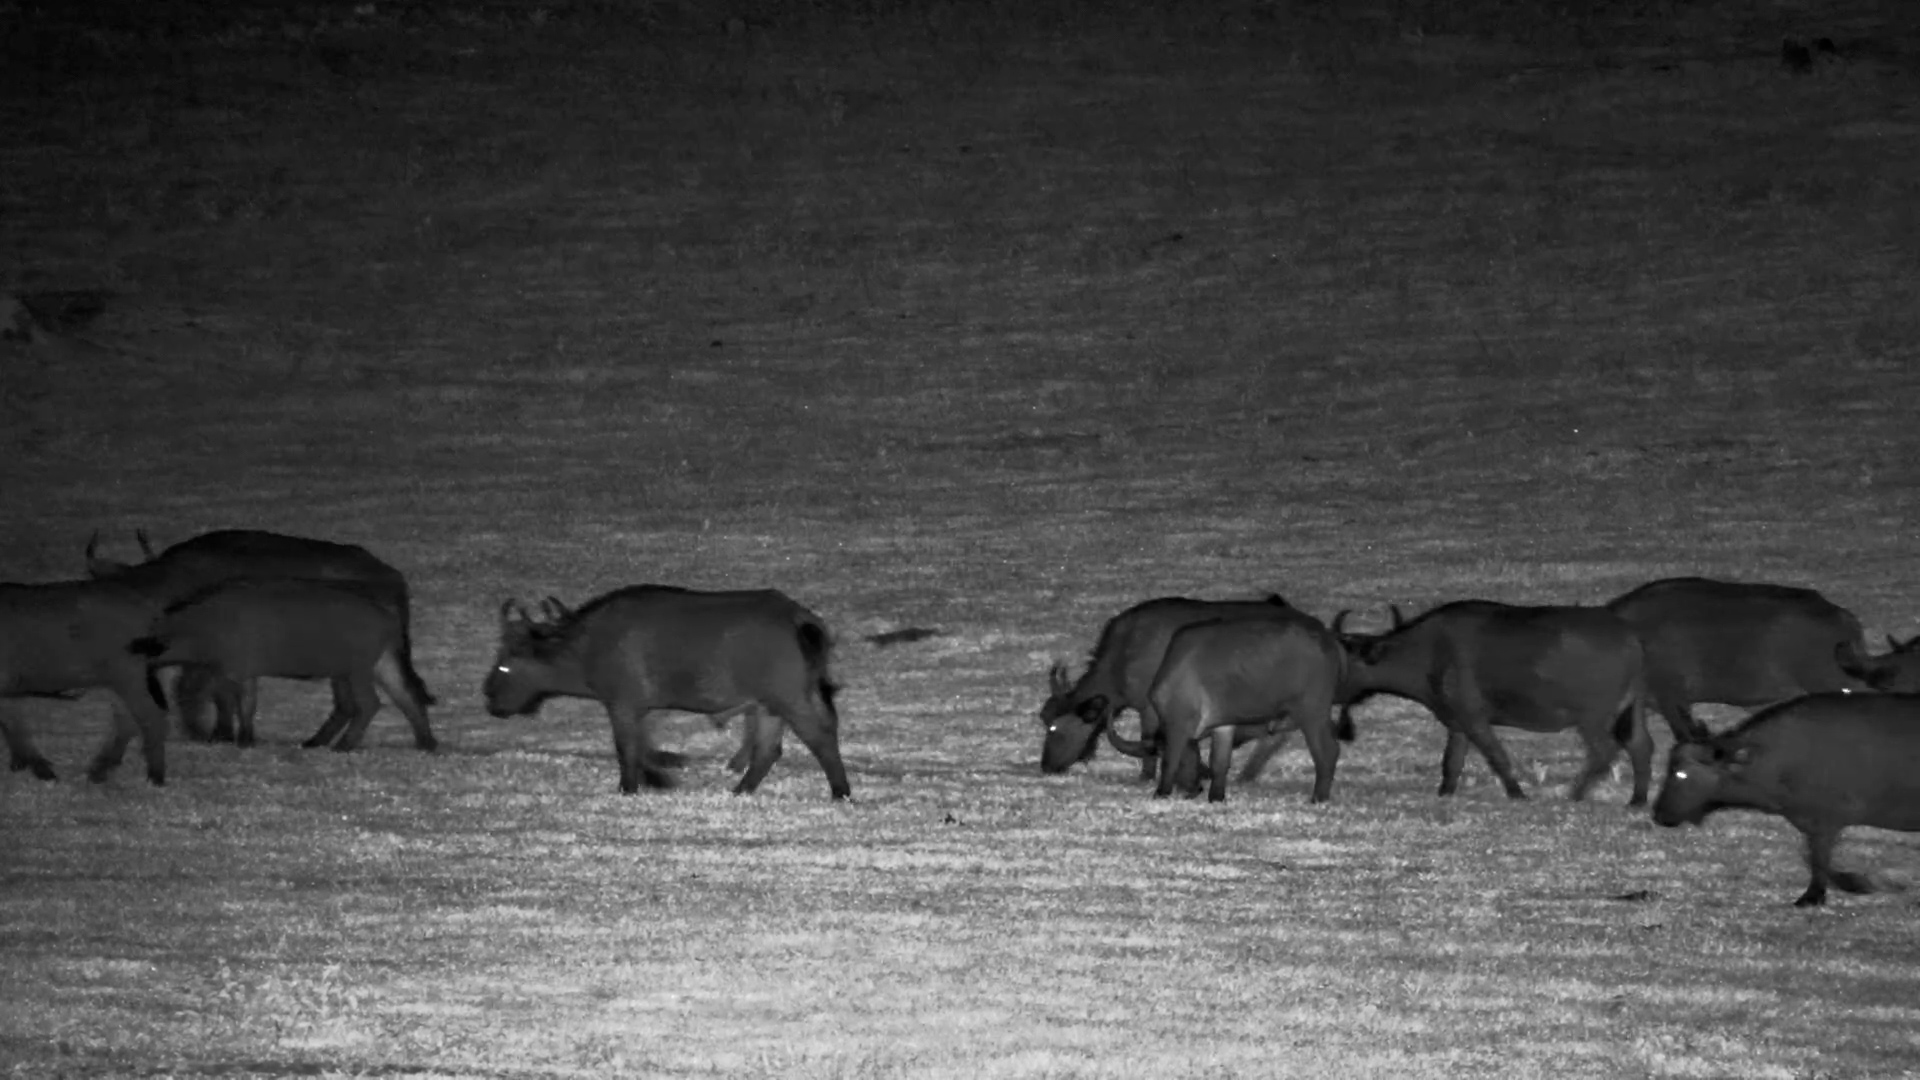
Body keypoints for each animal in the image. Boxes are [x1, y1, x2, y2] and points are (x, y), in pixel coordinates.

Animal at [0, 577, 170, 785]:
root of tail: (150, 607)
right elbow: (12, 722)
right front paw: (22, 765)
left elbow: (11, 722)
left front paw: (41, 771)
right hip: (120, 678)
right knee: (126, 721)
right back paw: (99, 771)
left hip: (128, 674)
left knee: (151, 717)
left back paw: (155, 777)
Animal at [132, 578, 437, 752]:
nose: (194, 734)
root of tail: (389, 618)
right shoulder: (240, 672)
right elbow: (242, 705)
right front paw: (241, 738)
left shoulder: (235, 670)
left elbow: (236, 704)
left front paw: (235, 739)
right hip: (372, 665)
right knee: (404, 697)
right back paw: (425, 743)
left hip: (357, 669)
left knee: (368, 704)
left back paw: (344, 745)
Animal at [484, 586, 851, 801]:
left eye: (504, 666)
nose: (489, 698)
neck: (586, 646)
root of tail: (800, 619)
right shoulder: (640, 708)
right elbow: (644, 746)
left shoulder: (622, 704)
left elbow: (628, 748)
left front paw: (632, 787)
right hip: (768, 706)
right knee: (767, 750)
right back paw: (741, 791)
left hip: (790, 699)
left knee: (819, 736)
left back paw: (840, 791)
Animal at [1340, 601, 1651, 804]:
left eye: (1346, 659)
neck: (1429, 652)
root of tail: (1630, 638)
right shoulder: (1458, 723)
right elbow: (1451, 762)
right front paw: (1445, 793)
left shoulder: (1474, 719)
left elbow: (1497, 756)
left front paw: (1518, 794)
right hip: (1633, 709)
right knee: (1641, 746)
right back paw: (1637, 799)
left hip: (1592, 718)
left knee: (1605, 751)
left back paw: (1574, 795)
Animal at [1653, 692, 1920, 906]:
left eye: (1680, 773)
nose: (1659, 814)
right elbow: (1811, 856)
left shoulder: (1826, 818)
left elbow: (1817, 858)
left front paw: (1818, 895)